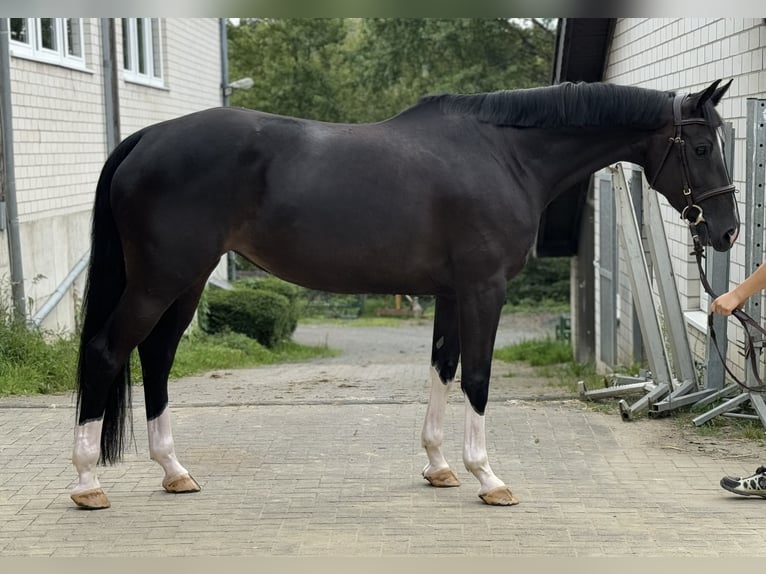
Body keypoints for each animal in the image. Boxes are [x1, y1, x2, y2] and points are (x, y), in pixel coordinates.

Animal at [70, 79, 736, 510]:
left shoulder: (449, 294)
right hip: (160, 280)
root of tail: (145, 139)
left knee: (156, 358)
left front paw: (439, 467)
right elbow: (477, 378)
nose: (726, 231)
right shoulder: (483, 289)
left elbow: (442, 370)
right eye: (702, 147)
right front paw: (487, 477)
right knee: (107, 353)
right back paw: (87, 484)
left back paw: (174, 471)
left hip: (186, 281)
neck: (505, 154)